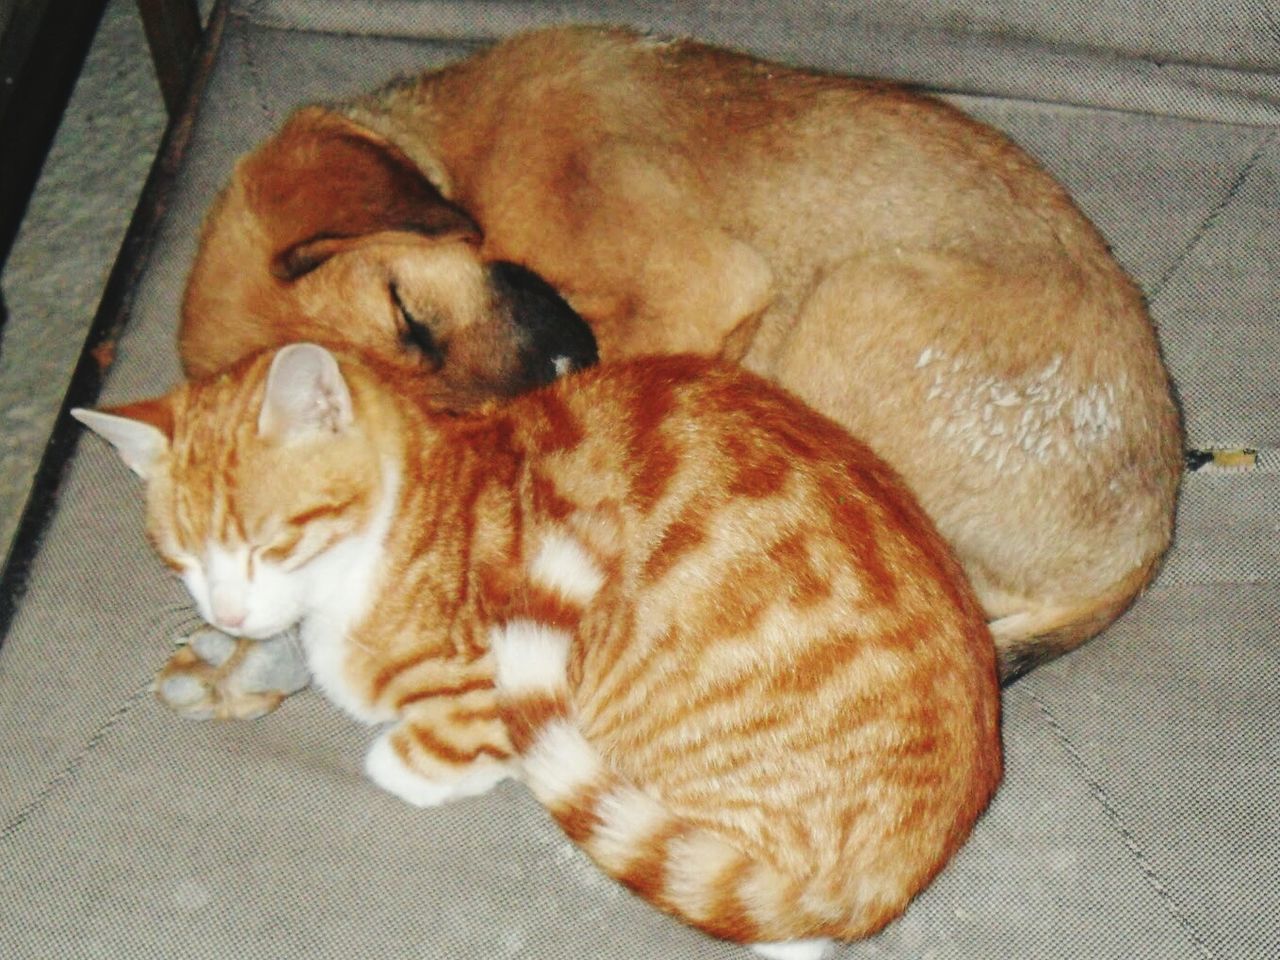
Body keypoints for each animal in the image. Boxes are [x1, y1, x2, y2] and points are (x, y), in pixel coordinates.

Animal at [74, 343, 1003, 957]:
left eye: (271, 543)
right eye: (181, 556)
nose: (227, 606)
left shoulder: (481, 697)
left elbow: (405, 754)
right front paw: (222, 665)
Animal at [177, 24, 1177, 686]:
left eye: (408, 314)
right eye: (427, 409)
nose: (561, 368)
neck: (464, 161)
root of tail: (1145, 540)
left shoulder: (705, 286)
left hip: (856, 299)